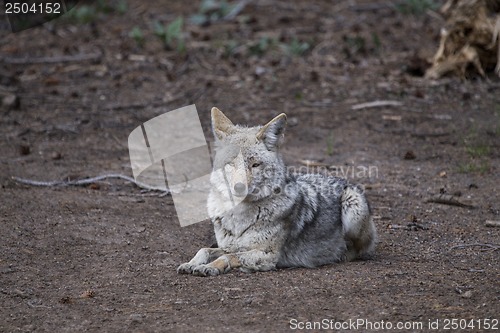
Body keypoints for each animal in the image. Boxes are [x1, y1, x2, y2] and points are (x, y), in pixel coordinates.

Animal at [176, 107, 376, 276]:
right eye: (230, 164)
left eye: (255, 165)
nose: (239, 187)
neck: (238, 217)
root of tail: (343, 180)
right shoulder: (231, 245)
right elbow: (205, 250)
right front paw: (192, 263)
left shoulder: (267, 255)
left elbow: (227, 257)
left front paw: (210, 267)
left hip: (353, 206)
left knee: (358, 250)